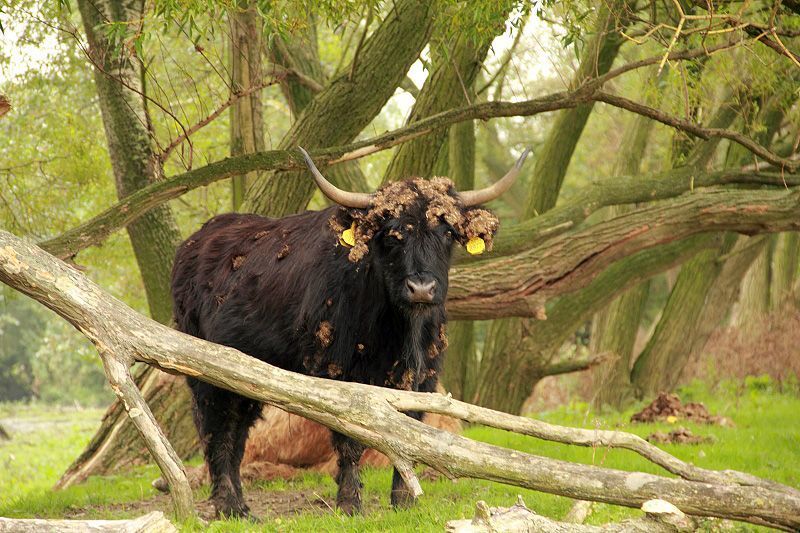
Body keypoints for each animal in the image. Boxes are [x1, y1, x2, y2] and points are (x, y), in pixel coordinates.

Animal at [172, 148, 528, 516]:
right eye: (392, 235)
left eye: (446, 233)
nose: (421, 288)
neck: (402, 333)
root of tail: (195, 243)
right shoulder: (344, 375)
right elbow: (352, 440)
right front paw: (349, 503)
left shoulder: (423, 378)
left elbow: (411, 433)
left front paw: (404, 501)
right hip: (206, 372)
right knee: (216, 430)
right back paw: (227, 505)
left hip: (245, 378)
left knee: (236, 432)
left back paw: (242, 509)